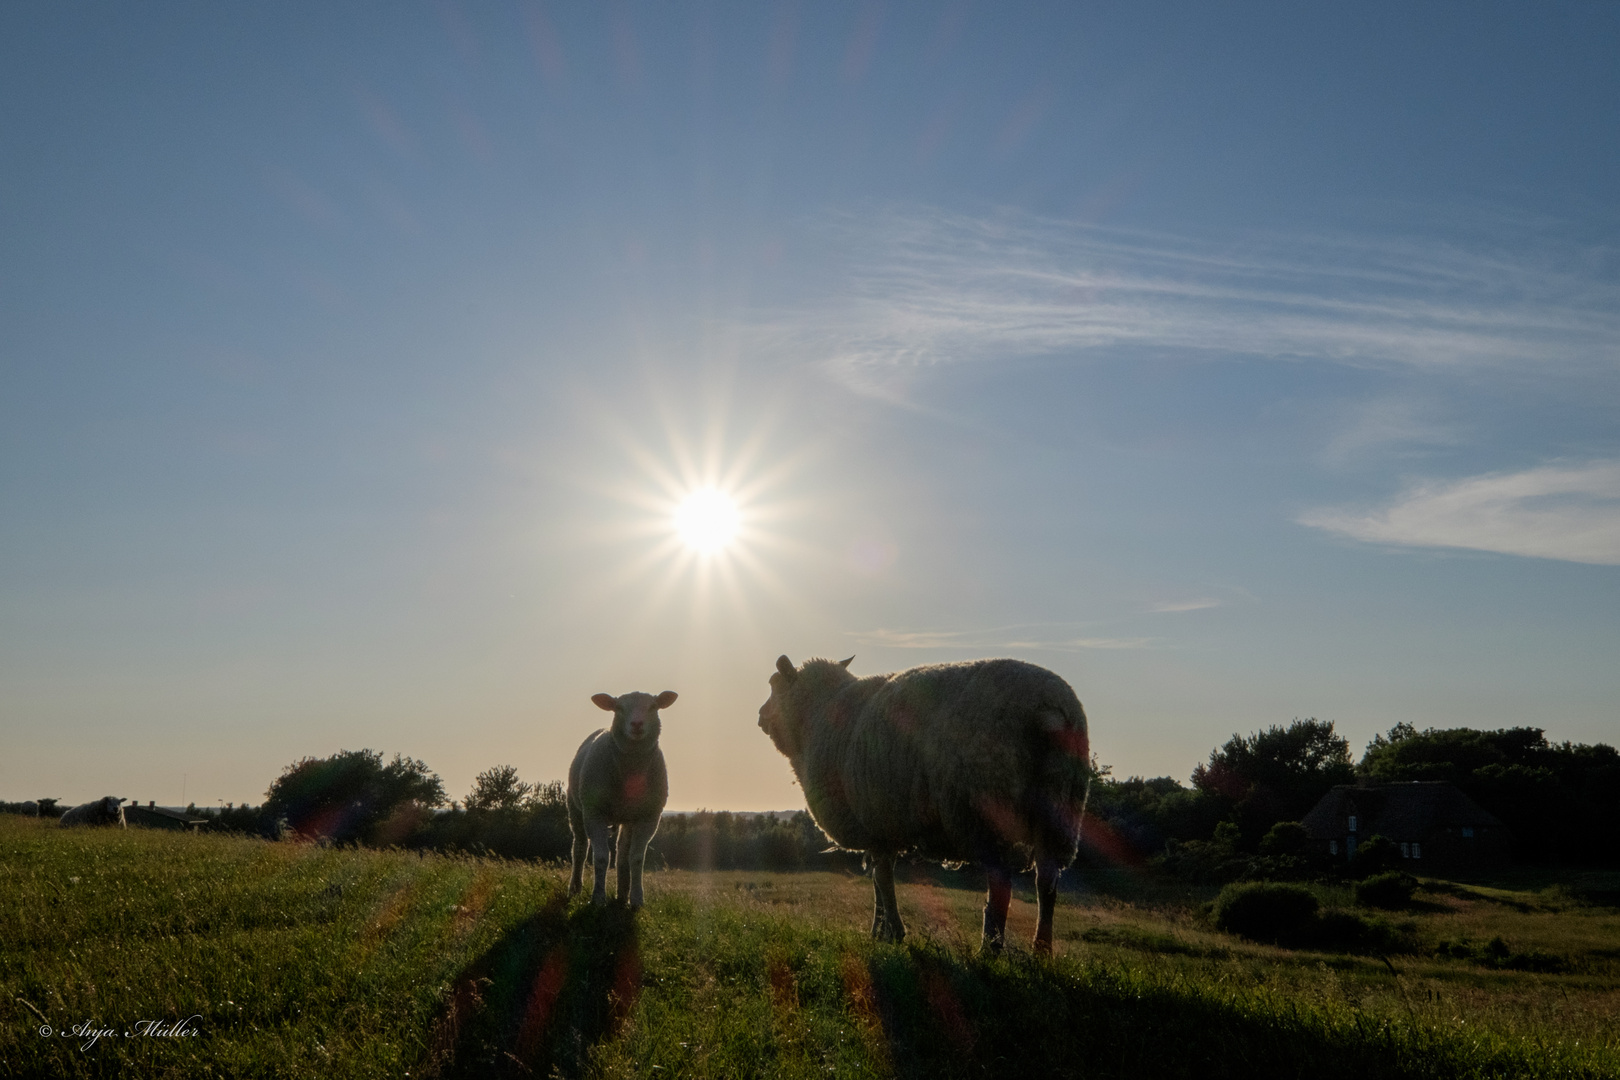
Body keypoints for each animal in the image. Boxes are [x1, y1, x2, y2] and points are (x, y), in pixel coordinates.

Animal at [567, 689, 673, 906]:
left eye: (653, 706)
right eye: (619, 708)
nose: (637, 724)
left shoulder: (649, 816)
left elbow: (637, 858)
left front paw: (637, 899)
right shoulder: (594, 812)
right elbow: (600, 857)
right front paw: (598, 898)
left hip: (628, 817)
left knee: (622, 852)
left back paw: (623, 894)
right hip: (575, 807)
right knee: (580, 848)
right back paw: (575, 888)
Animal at [754, 654, 1088, 952]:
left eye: (774, 685)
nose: (759, 716)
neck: (817, 717)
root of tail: (1048, 707)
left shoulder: (873, 820)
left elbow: (882, 879)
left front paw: (892, 932)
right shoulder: (881, 827)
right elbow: (878, 880)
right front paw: (879, 930)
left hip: (985, 810)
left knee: (1002, 884)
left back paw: (989, 949)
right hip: (1061, 812)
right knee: (1046, 884)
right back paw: (1041, 951)